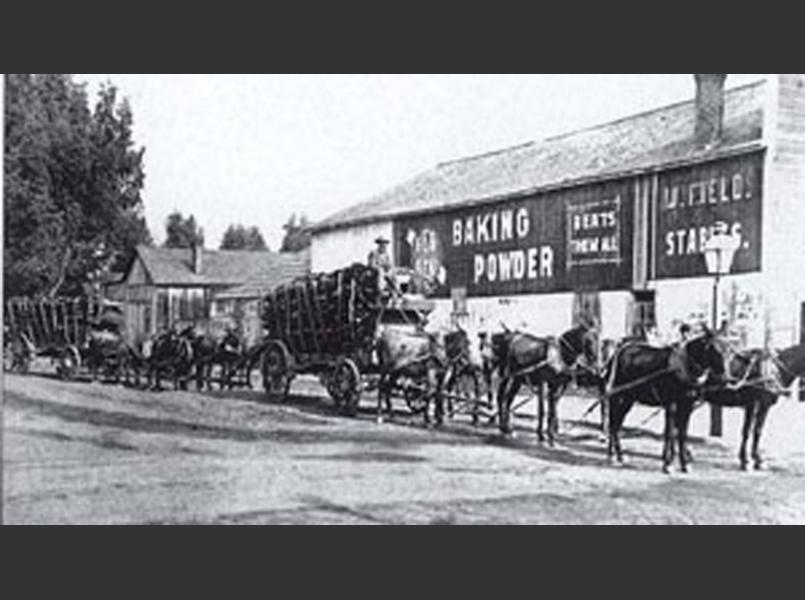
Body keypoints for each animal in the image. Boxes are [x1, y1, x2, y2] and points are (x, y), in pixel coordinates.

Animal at [604, 328, 728, 474]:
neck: (683, 367)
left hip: (628, 399)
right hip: (619, 397)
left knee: (616, 423)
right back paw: (616, 455)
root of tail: (619, 352)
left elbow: (682, 434)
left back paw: (616, 455)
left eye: (727, 350)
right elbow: (669, 433)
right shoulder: (671, 406)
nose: (725, 378)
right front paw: (667, 464)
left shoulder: (687, 406)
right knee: (613, 423)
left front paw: (684, 464)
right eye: (714, 349)